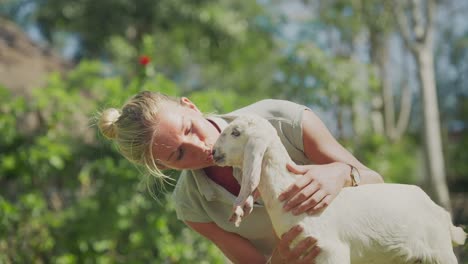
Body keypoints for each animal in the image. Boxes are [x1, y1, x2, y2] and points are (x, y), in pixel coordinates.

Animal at [213, 115, 468, 264]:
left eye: (236, 132)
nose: (214, 152)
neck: (286, 186)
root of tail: (442, 214)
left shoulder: (331, 252)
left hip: (441, 251)